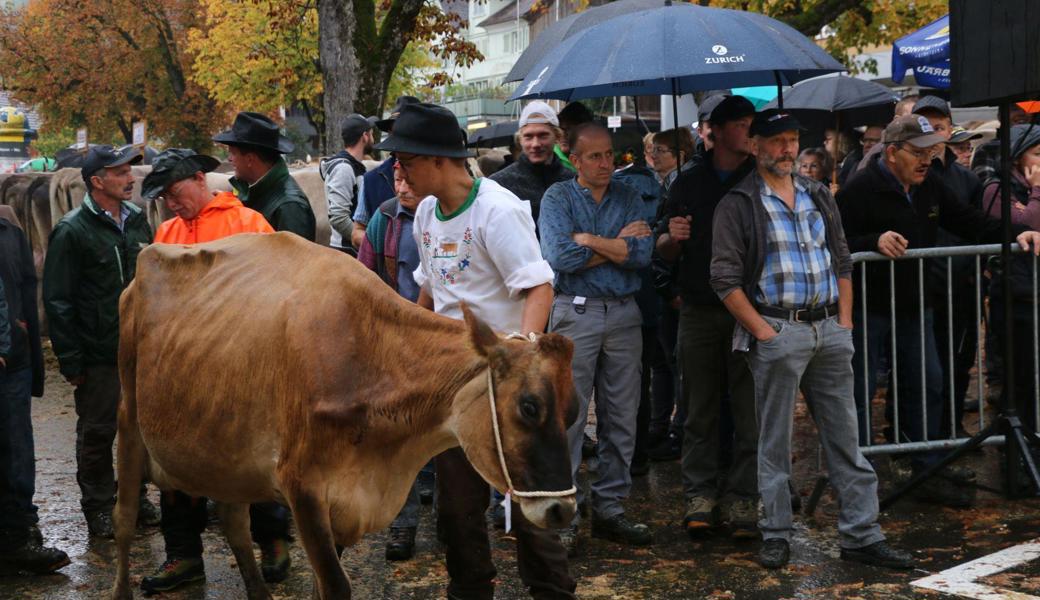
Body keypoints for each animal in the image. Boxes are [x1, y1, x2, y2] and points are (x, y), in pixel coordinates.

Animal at [110, 233, 582, 598]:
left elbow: (322, 585)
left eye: (574, 411)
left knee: (235, 526)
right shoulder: (303, 490)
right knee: (123, 523)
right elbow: (335, 587)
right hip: (130, 422)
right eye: (529, 406)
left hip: (226, 454)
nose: (562, 511)